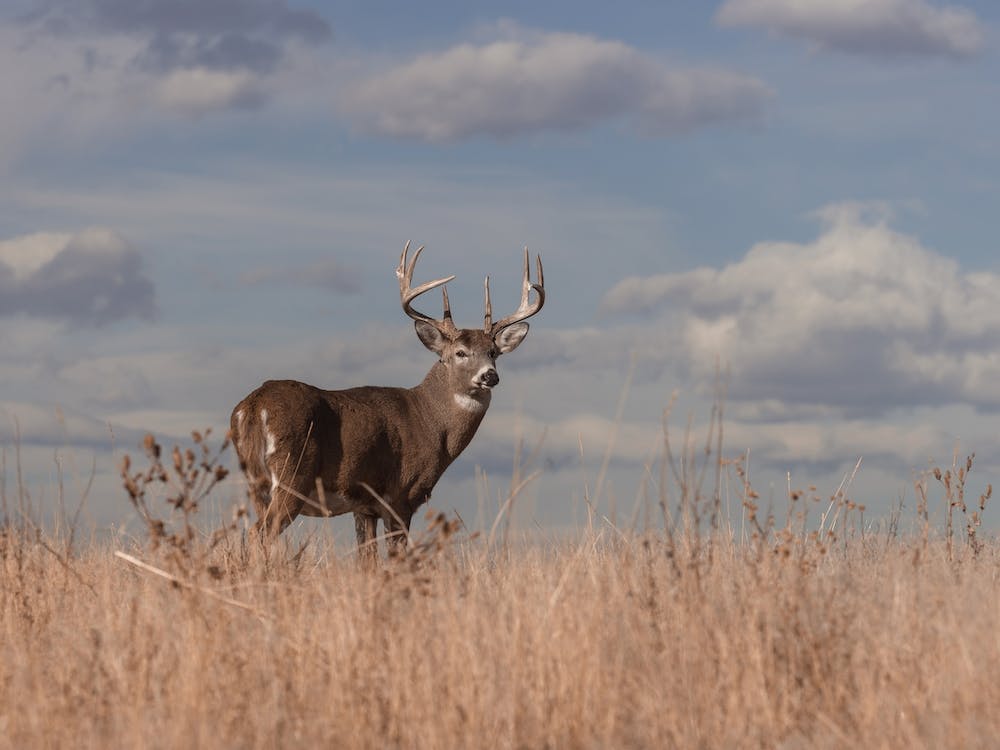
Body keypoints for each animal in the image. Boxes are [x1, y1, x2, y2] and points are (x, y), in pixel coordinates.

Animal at [230, 242, 545, 565]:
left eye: (493, 352)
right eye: (460, 352)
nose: (490, 375)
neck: (430, 422)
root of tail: (253, 406)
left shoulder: (364, 506)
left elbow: (366, 559)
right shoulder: (401, 494)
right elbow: (396, 557)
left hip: (256, 481)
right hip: (292, 475)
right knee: (259, 532)